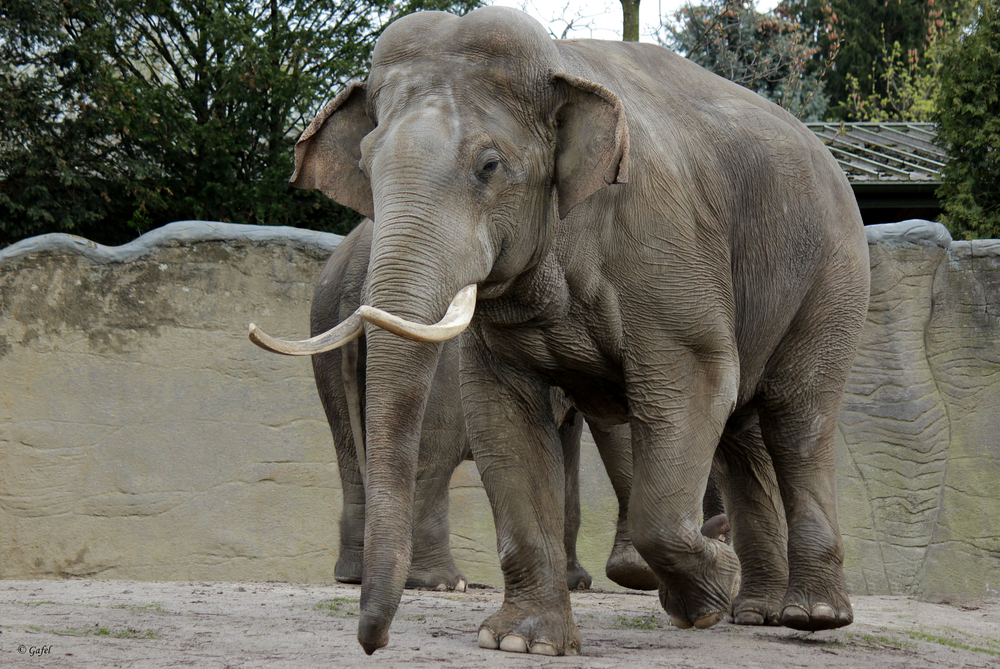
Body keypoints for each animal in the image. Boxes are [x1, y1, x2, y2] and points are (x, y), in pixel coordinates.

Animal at [248, 3, 868, 652]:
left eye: (489, 166)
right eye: (366, 166)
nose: (373, 644)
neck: (560, 65)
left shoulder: (666, 252)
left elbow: (687, 386)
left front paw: (701, 594)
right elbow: (504, 415)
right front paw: (525, 642)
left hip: (834, 276)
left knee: (797, 417)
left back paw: (810, 616)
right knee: (744, 432)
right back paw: (754, 612)